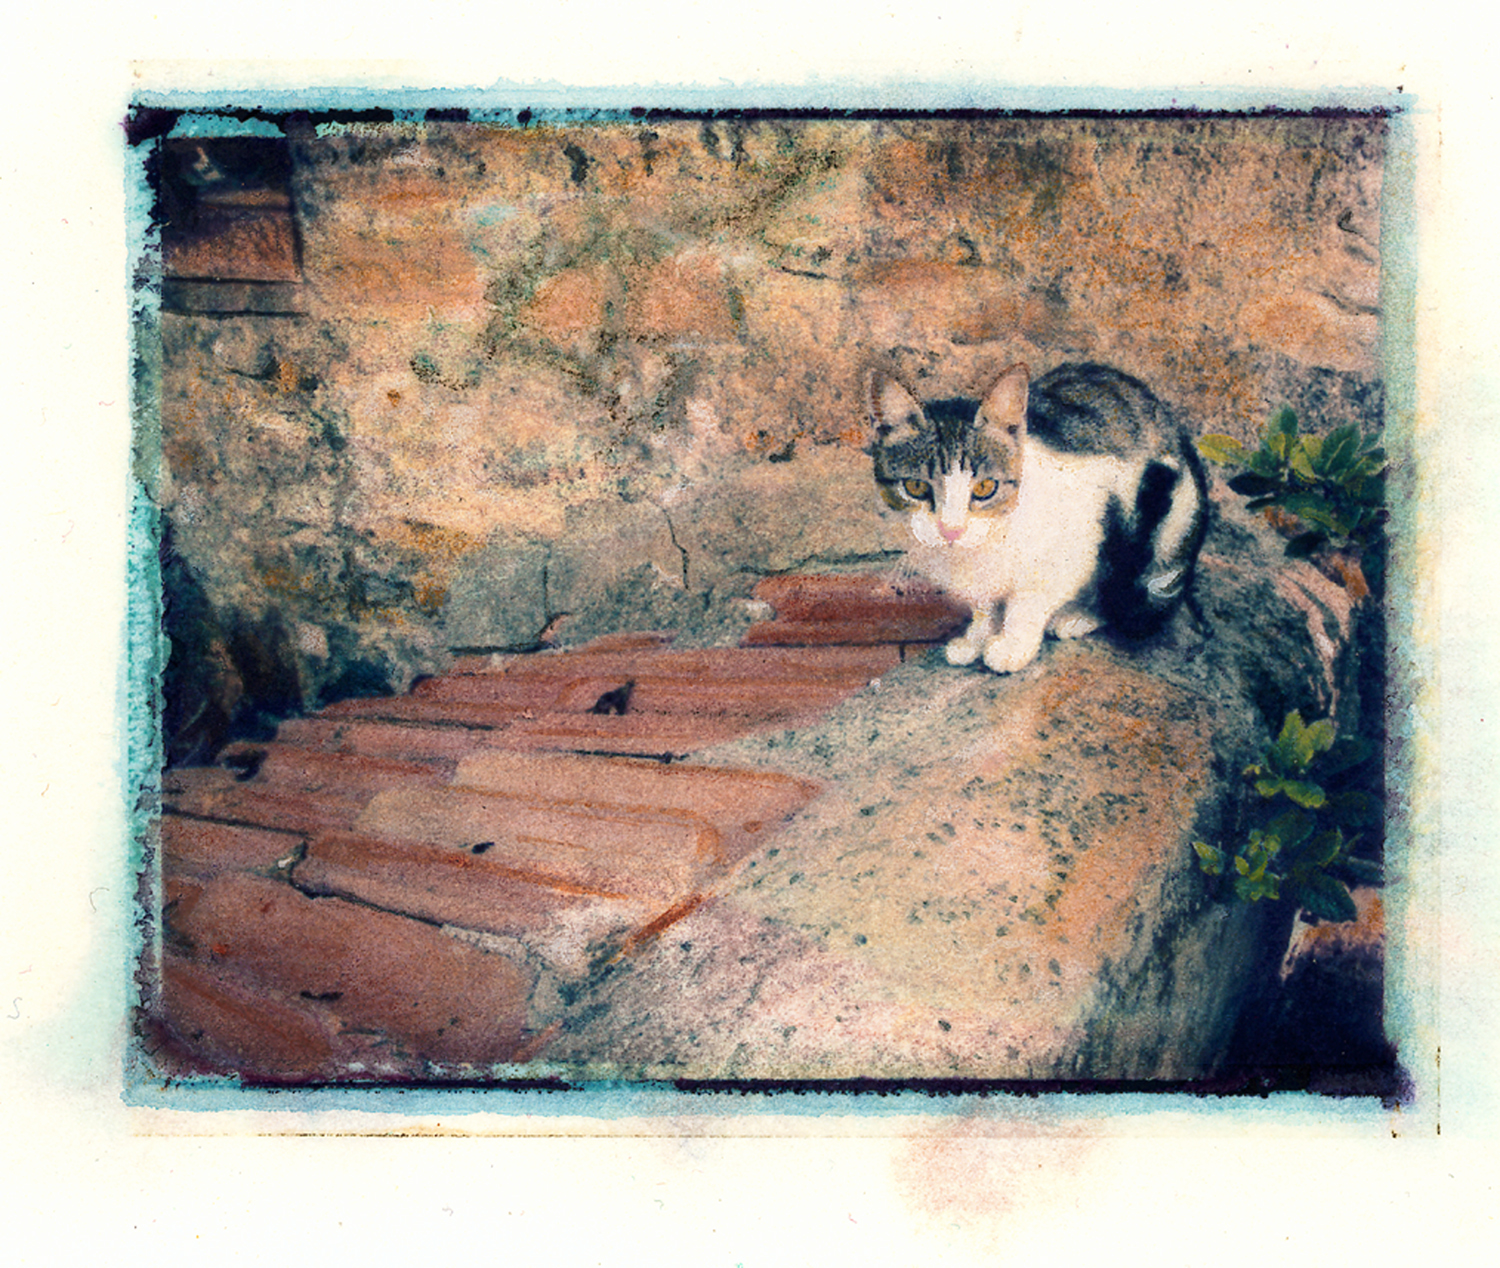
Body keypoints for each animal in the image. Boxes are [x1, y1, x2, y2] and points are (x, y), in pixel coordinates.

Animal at [870, 358, 1206, 672]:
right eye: (915, 487)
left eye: (985, 488)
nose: (951, 530)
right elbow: (984, 604)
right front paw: (977, 638)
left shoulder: (1079, 535)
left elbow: (1029, 601)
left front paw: (1013, 644)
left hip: (1167, 524)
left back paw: (1078, 616)